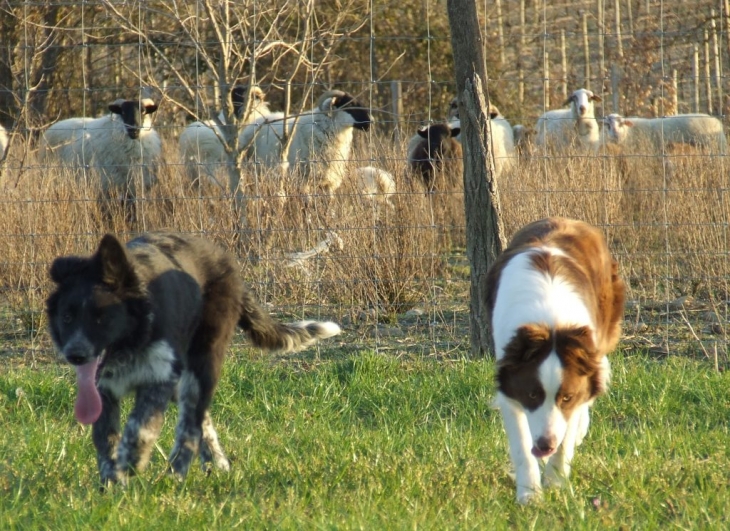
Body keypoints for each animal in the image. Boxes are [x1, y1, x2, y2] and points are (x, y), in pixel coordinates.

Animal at [47, 235, 340, 488]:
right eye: (67, 317)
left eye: (101, 318)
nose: (75, 354)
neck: (133, 339)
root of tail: (225, 259)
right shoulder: (104, 390)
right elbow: (105, 437)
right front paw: (112, 484)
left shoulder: (159, 375)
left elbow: (140, 427)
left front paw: (132, 462)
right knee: (200, 417)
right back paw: (216, 463)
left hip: (203, 361)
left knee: (191, 422)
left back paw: (177, 473)